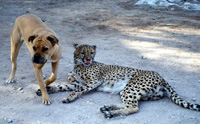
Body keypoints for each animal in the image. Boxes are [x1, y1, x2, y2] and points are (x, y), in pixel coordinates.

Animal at [36, 43, 199, 118]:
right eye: (83, 52)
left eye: (92, 52)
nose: (88, 59)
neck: (79, 65)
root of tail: (160, 75)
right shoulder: (77, 82)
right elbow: (62, 86)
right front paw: (44, 89)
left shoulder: (94, 81)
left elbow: (77, 90)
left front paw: (69, 98)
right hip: (136, 92)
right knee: (129, 104)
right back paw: (108, 107)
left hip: (131, 87)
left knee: (134, 107)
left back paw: (111, 113)